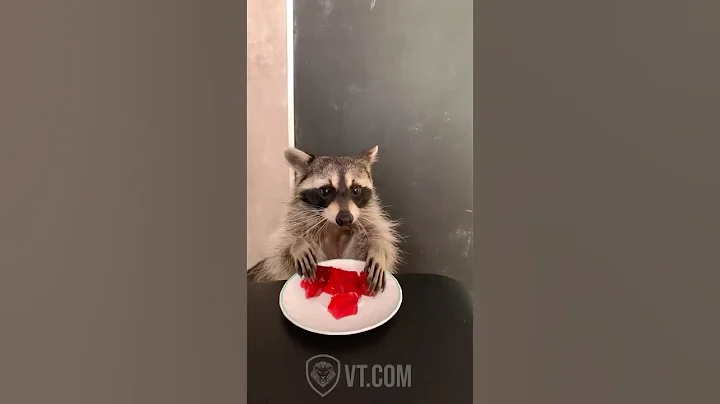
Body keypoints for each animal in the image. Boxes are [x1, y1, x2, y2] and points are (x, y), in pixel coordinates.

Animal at [247, 145, 401, 293]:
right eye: (326, 191)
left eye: (356, 190)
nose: (345, 219)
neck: (334, 226)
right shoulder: (296, 224)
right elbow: (282, 254)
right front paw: (297, 245)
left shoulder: (367, 218)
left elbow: (376, 236)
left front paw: (377, 249)